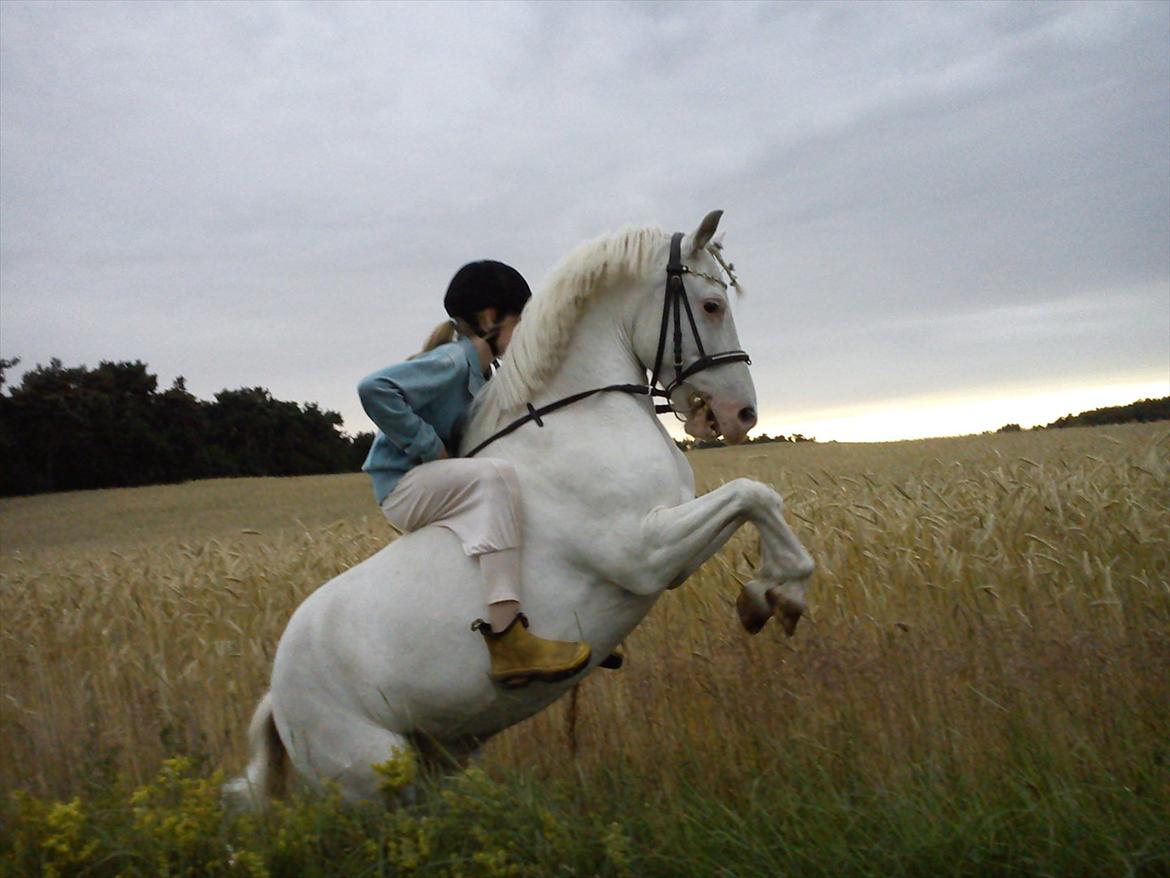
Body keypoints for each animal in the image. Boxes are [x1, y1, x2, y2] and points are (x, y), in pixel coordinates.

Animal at [225, 209, 814, 810]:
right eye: (712, 305)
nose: (742, 414)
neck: (579, 413)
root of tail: (276, 696)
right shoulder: (643, 553)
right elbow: (751, 492)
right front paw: (777, 595)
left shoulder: (671, 555)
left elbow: (758, 499)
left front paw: (769, 594)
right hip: (373, 779)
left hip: (440, 755)